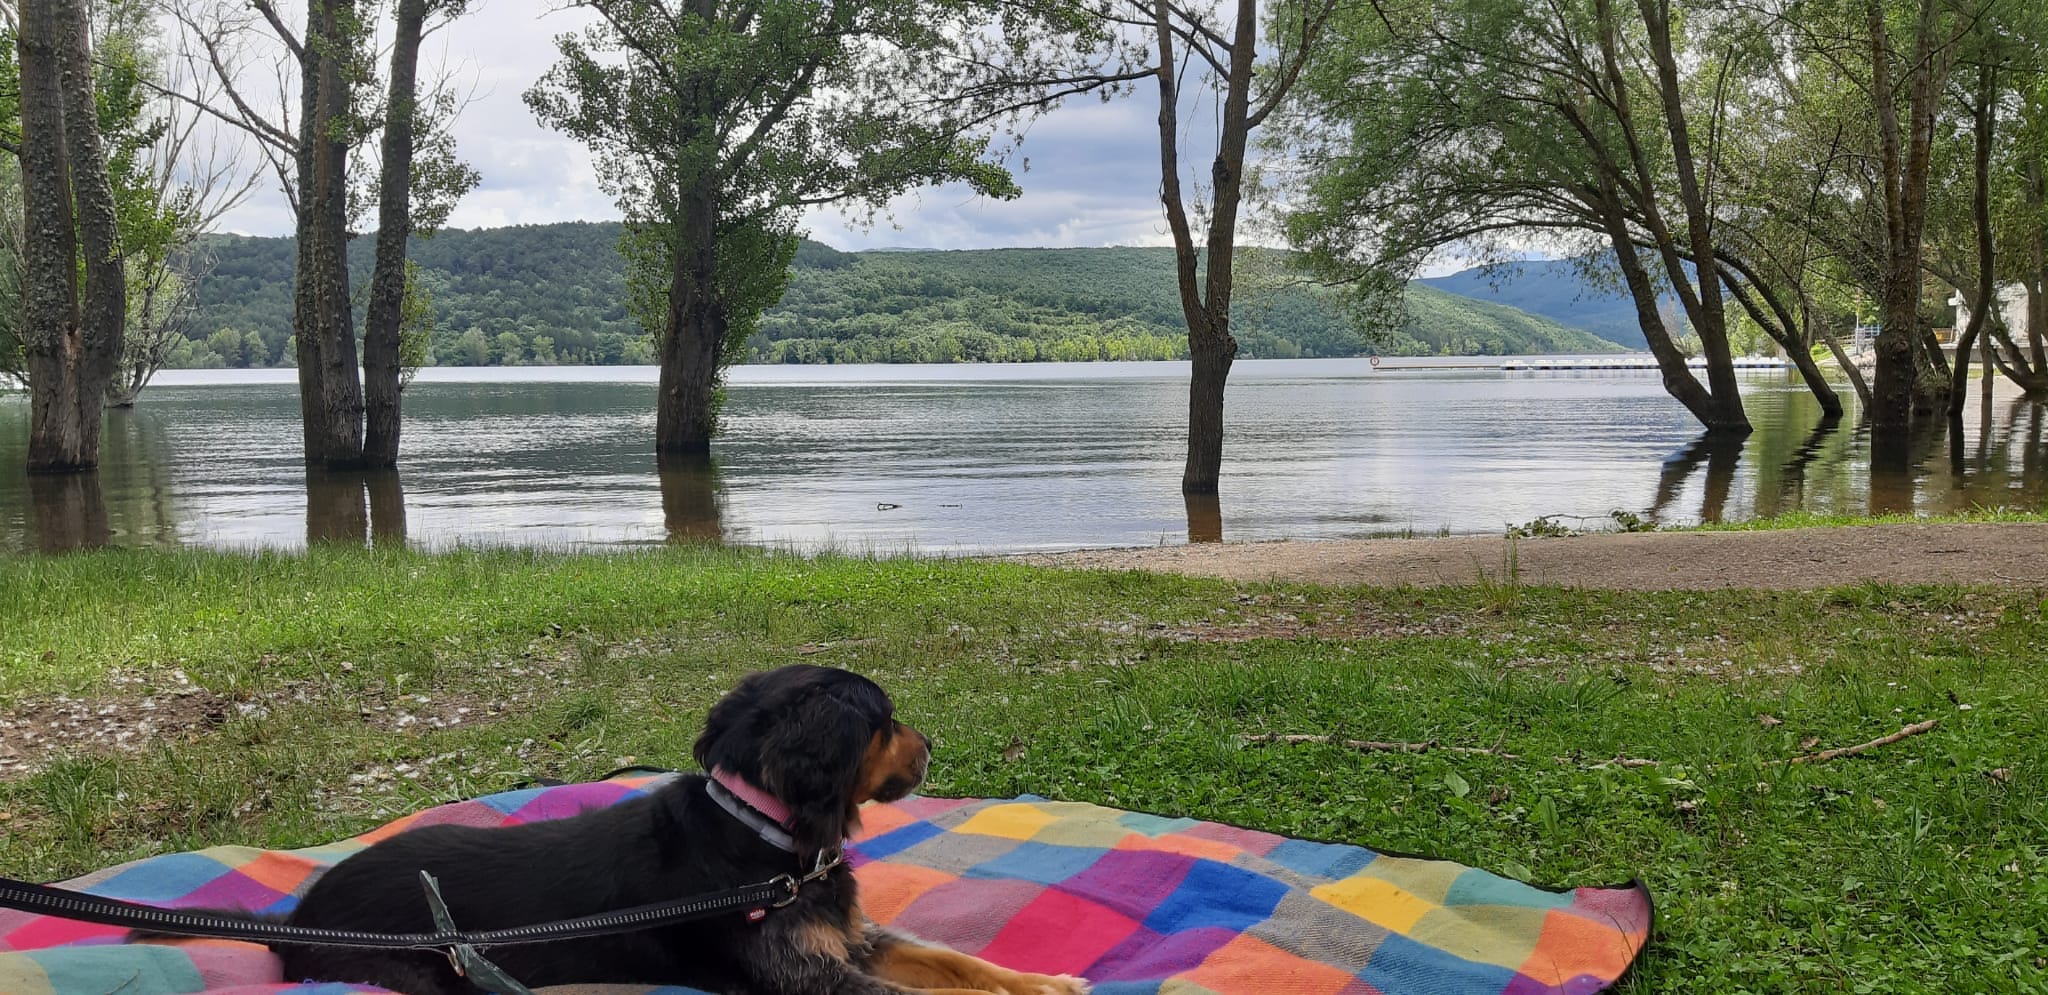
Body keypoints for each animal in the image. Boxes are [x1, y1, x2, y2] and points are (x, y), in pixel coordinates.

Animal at [264, 663, 1089, 990]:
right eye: (883, 721)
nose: (932, 745)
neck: (766, 837)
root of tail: (297, 916)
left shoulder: (851, 939)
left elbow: (957, 962)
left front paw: (1045, 981)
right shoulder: (808, 976)